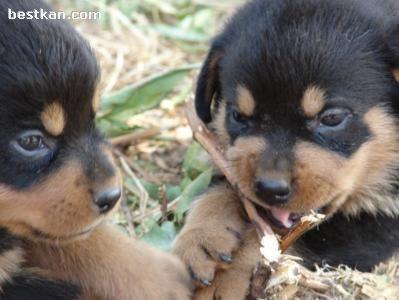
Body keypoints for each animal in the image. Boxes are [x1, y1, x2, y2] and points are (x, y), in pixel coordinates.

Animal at [174, 0, 399, 298]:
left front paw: (226, 279)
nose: (269, 188)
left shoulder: (377, 226)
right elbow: (226, 190)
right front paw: (201, 238)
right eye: (238, 115)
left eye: (331, 118)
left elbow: (280, 243)